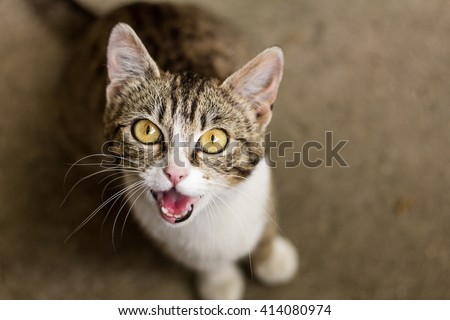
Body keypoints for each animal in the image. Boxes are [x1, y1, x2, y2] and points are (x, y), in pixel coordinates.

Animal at [57, 1, 298, 298]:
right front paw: (219, 280)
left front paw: (270, 256)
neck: (209, 216)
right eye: (146, 131)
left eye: (215, 139)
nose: (174, 173)